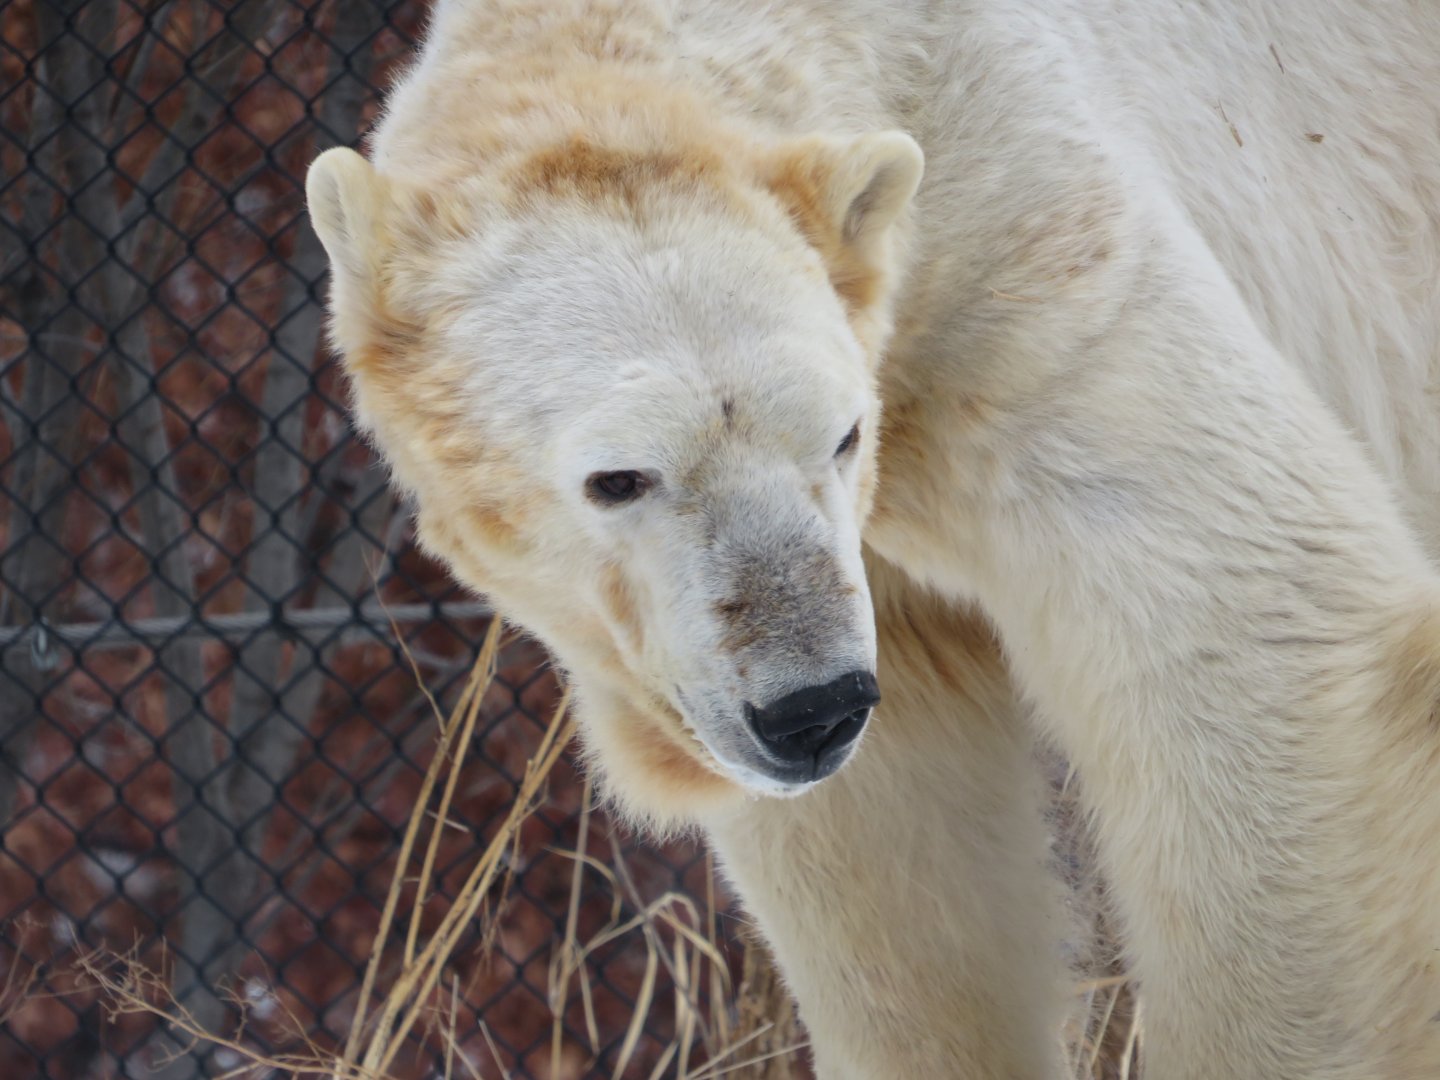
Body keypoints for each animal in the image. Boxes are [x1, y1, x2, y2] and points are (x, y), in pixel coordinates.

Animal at [306, 1, 1440, 1076]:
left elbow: (1240, 617)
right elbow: (892, 849)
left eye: (845, 434)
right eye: (617, 479)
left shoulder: (1027, 245)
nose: (812, 711)